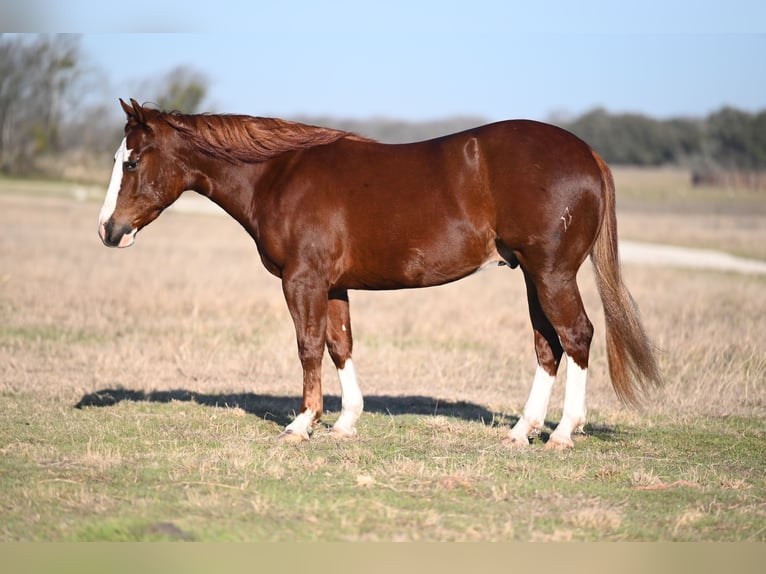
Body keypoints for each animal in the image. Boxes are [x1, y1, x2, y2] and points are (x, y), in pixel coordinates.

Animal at [96, 99, 664, 450]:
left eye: (132, 161)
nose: (108, 230)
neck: (278, 175)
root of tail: (587, 154)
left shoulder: (302, 281)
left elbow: (308, 346)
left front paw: (302, 424)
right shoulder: (332, 284)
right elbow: (339, 344)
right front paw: (346, 422)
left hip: (552, 274)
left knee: (577, 336)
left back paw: (564, 432)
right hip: (532, 276)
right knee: (548, 345)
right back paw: (522, 430)